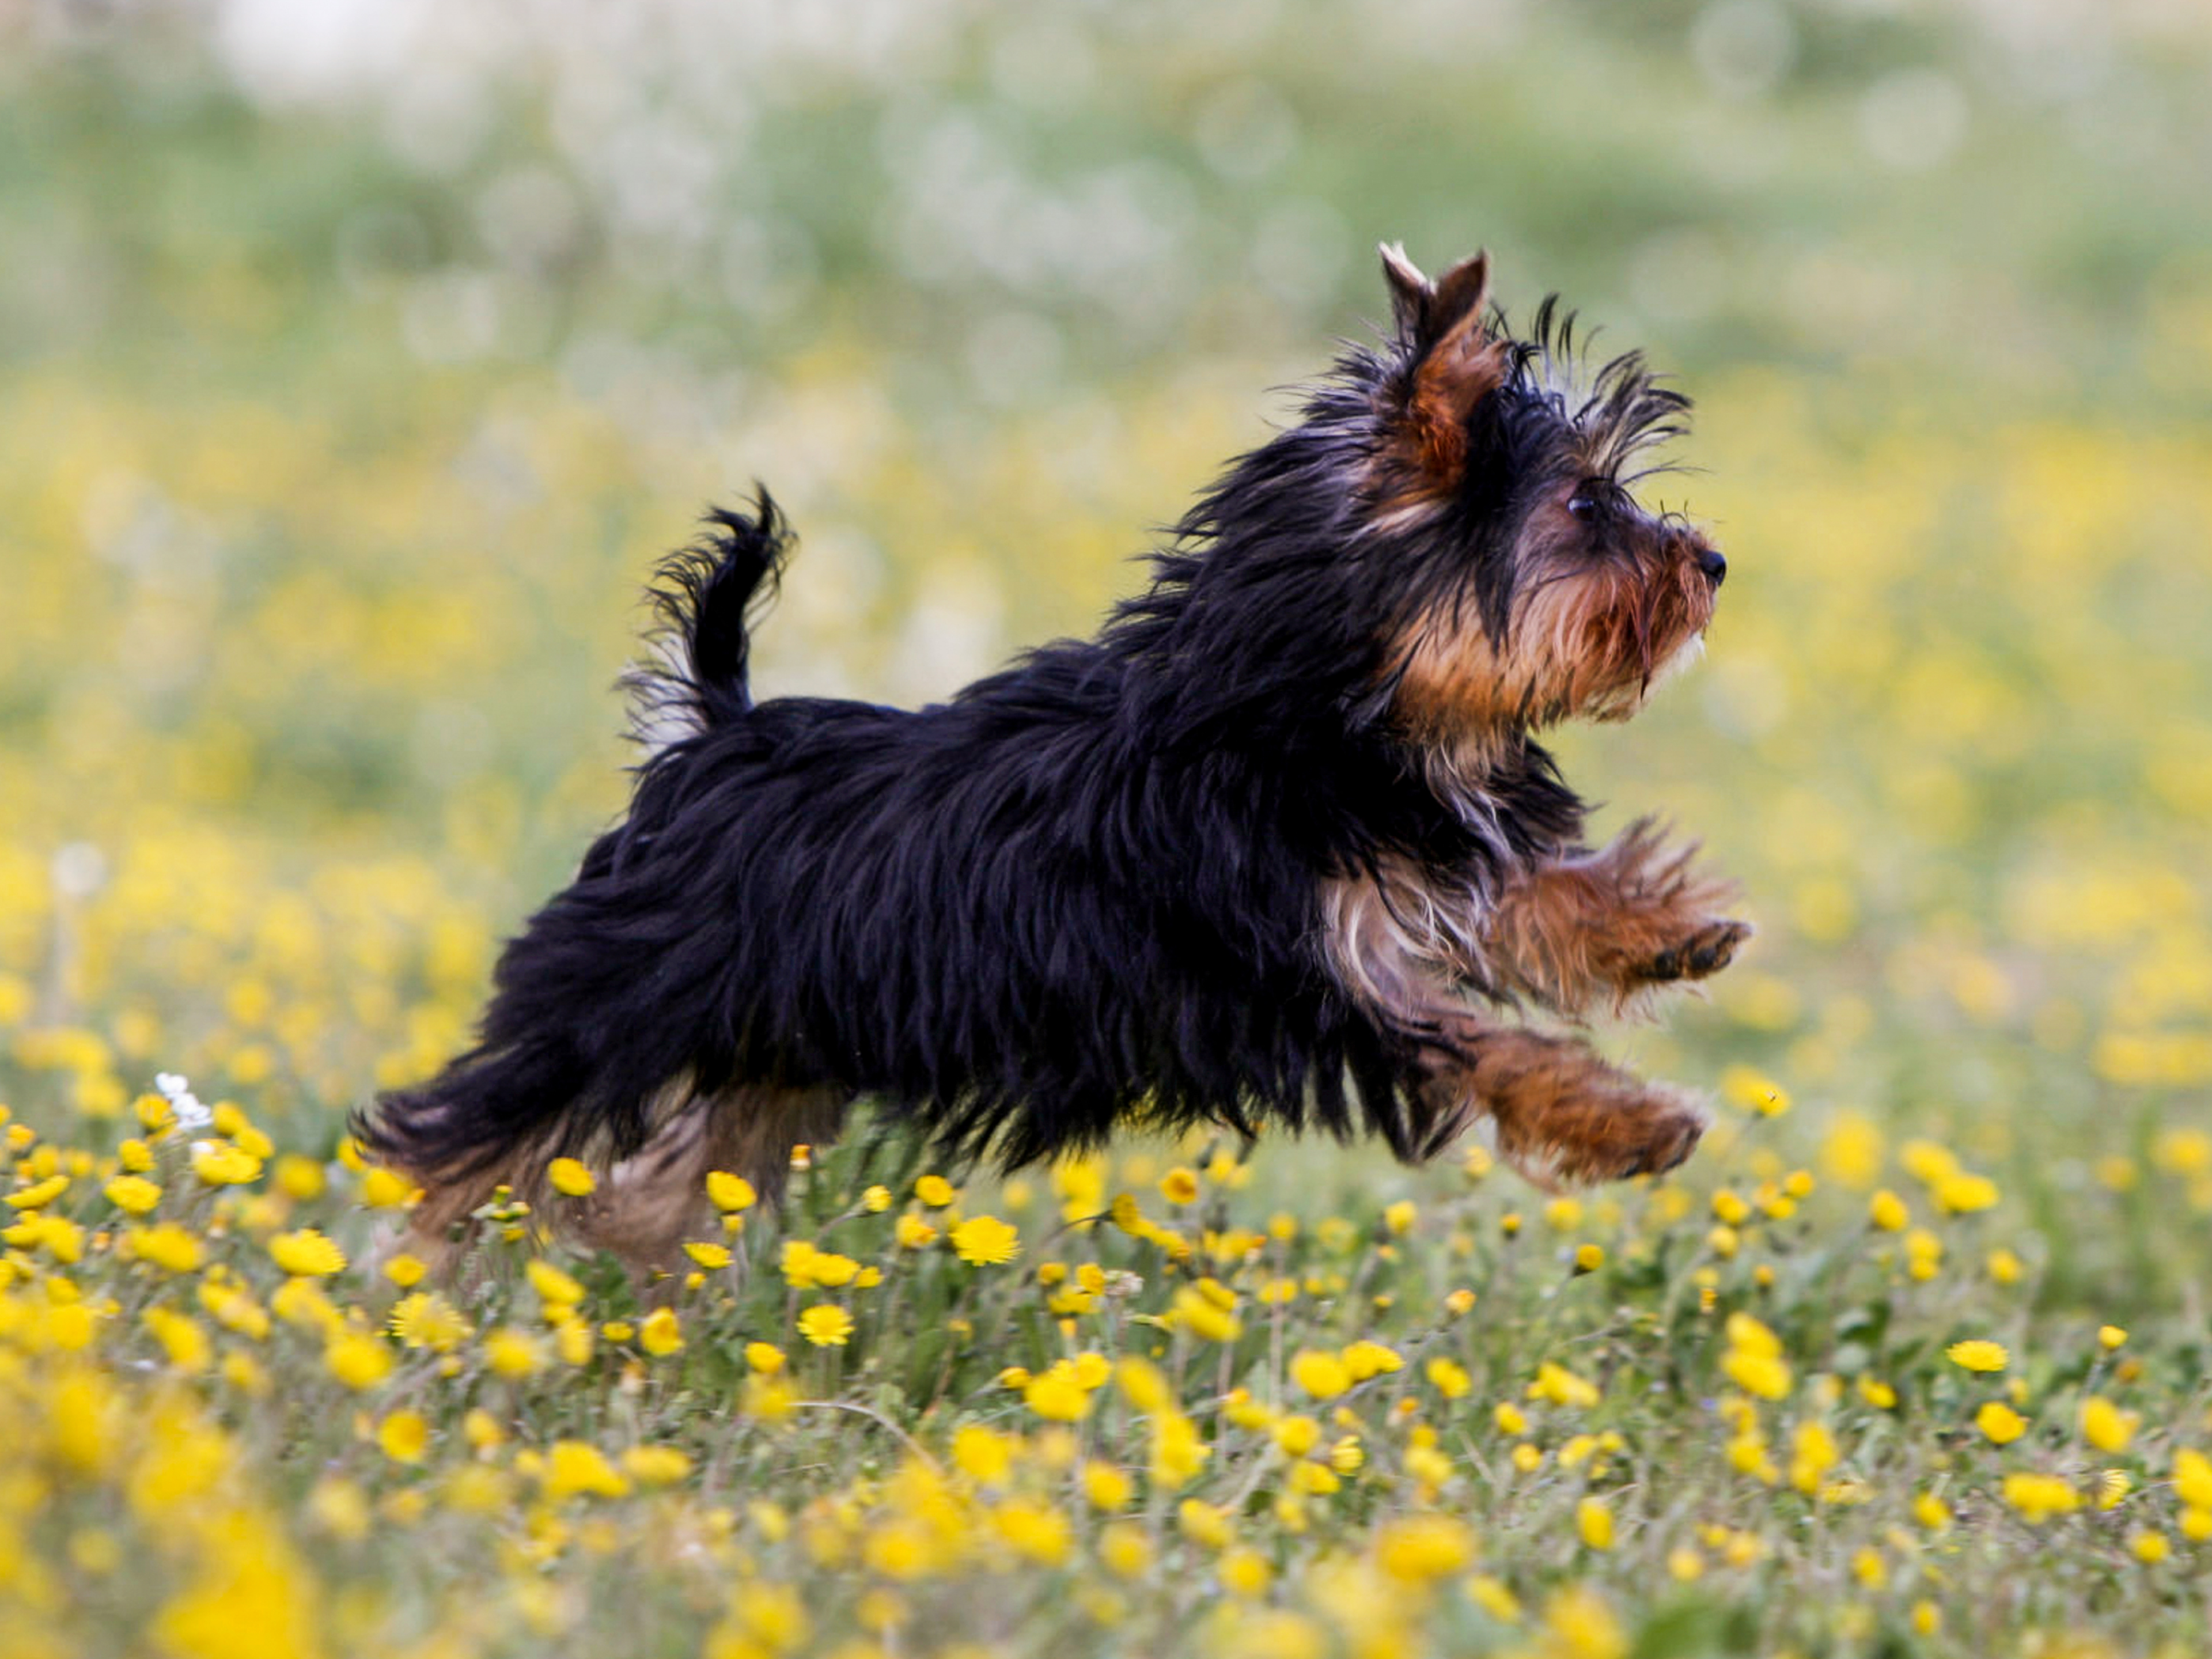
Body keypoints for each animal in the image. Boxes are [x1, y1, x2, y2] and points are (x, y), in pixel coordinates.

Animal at [358, 247, 1743, 1265]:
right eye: (1586, 507)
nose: (1713, 561)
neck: (1319, 710)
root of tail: (712, 734)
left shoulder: (1409, 877)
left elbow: (1529, 899)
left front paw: (1661, 929)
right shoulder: (1291, 972)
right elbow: (1479, 1044)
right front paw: (1635, 1122)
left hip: (777, 1039)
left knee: (673, 1174)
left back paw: (641, 1271)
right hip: (616, 991)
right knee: (472, 1131)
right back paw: (404, 1282)